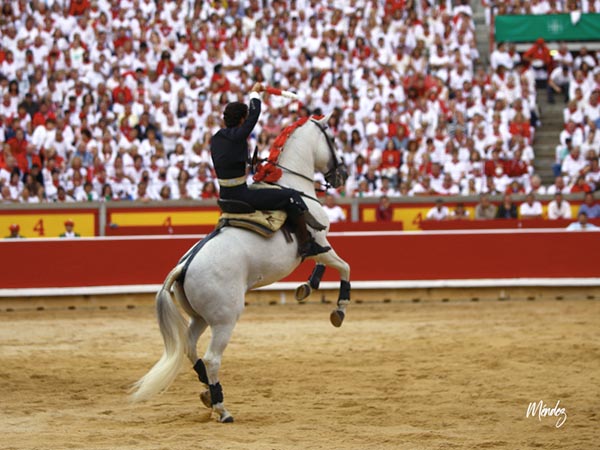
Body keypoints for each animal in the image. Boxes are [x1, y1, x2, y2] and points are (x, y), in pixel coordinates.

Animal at [129, 112, 350, 422]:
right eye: (331, 137)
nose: (341, 175)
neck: (292, 185)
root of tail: (183, 267)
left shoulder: (319, 247)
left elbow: (324, 266)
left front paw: (307, 287)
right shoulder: (320, 241)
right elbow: (343, 267)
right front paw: (338, 310)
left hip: (200, 317)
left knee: (190, 347)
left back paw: (208, 394)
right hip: (225, 318)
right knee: (211, 358)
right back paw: (222, 408)